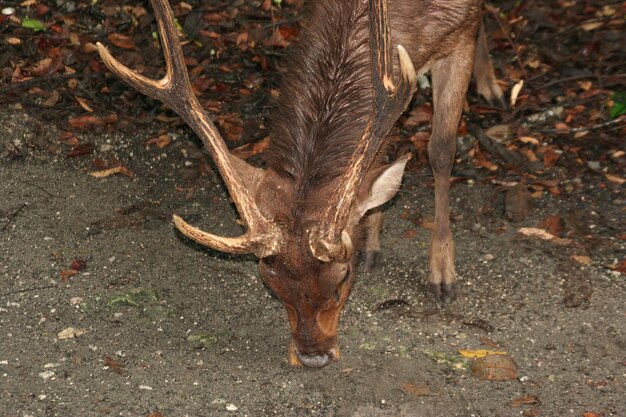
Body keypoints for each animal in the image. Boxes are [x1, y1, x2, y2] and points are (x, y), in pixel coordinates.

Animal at [97, 0, 486, 366]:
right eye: (272, 284)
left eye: (342, 278)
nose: (314, 356)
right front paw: (374, 241)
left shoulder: (463, 32)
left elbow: (441, 149)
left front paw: (442, 272)